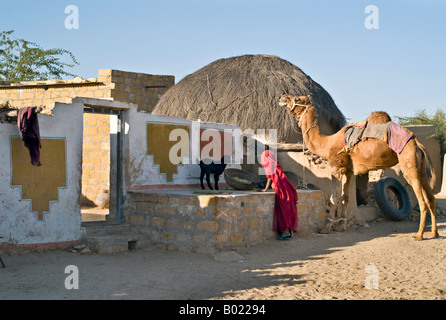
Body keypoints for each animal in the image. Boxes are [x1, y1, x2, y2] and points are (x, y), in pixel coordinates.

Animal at [278, 93, 440, 240]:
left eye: (298, 98)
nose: (283, 97)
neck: (327, 143)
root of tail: (417, 143)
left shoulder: (336, 168)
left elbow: (334, 197)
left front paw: (326, 228)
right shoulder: (349, 170)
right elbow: (346, 196)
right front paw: (341, 226)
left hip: (409, 162)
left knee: (422, 200)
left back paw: (419, 235)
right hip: (420, 166)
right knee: (431, 198)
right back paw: (434, 233)